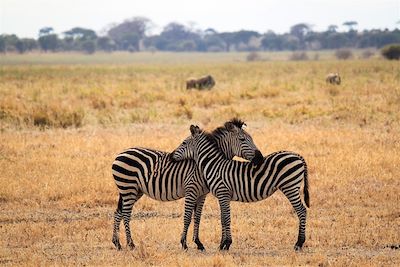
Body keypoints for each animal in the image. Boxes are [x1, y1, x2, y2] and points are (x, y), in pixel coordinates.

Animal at [111, 119, 262, 251]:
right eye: (242, 140)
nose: (260, 158)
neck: (205, 163)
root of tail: (120, 154)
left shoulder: (202, 194)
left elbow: (197, 218)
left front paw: (198, 243)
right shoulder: (191, 190)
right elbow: (188, 217)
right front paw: (184, 244)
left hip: (134, 191)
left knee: (119, 212)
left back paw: (117, 244)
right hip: (128, 188)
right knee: (126, 214)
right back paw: (131, 244)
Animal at [171, 125, 310, 251]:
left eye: (183, 143)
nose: (171, 156)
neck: (214, 165)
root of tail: (298, 156)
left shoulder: (223, 192)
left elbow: (227, 218)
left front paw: (227, 244)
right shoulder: (222, 196)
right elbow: (223, 218)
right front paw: (222, 245)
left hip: (290, 186)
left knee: (301, 210)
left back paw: (299, 243)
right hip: (291, 186)